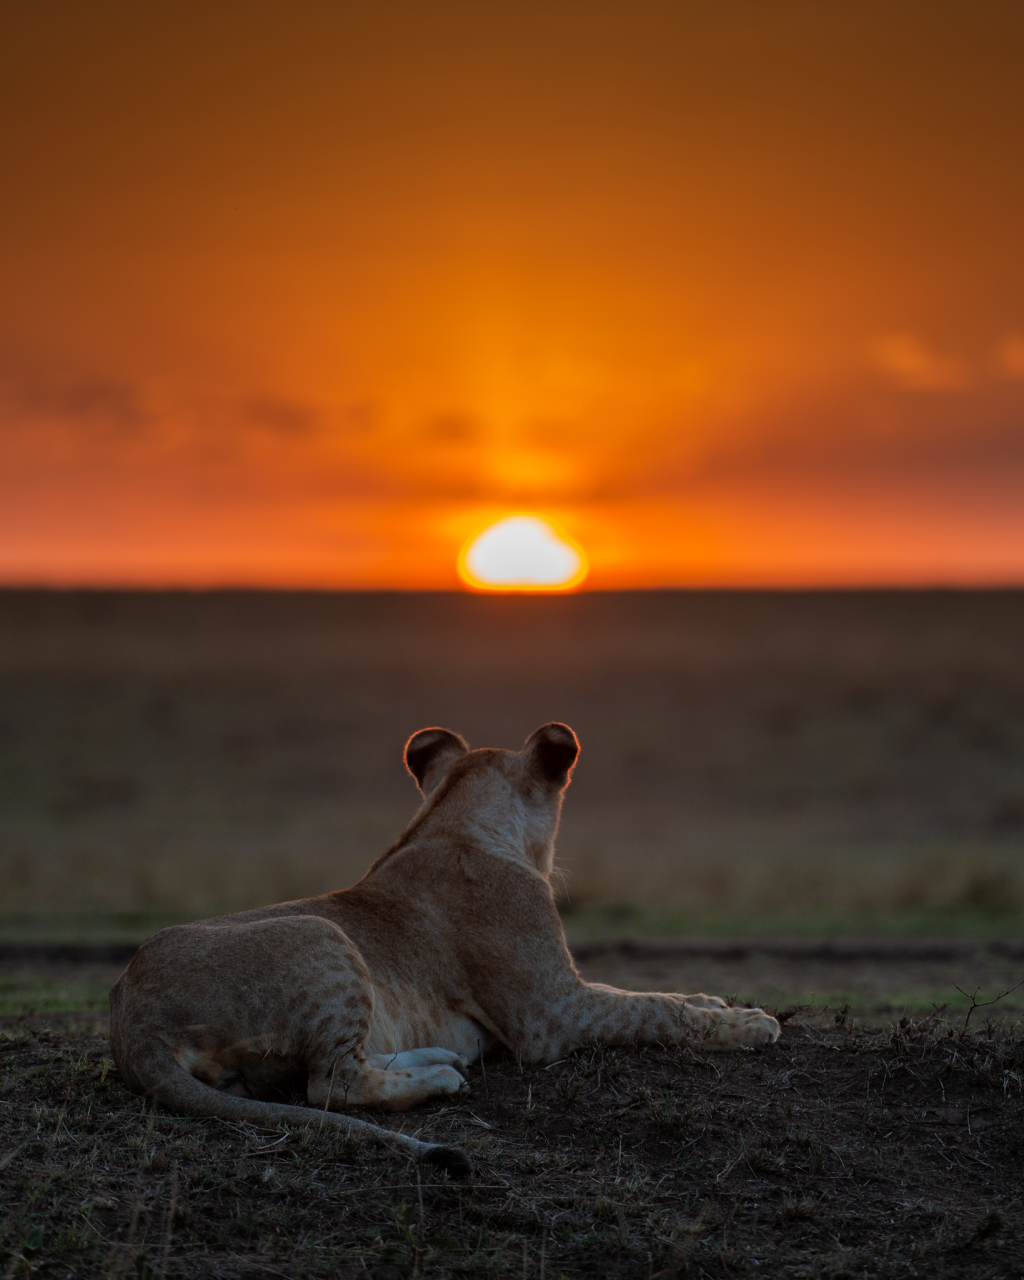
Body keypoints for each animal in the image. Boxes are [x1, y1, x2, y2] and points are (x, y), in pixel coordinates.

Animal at [110, 727, 778, 1172]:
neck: (452, 821)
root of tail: (130, 1018)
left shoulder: (567, 991)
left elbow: (645, 991)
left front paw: (715, 1000)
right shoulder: (551, 1017)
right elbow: (653, 1010)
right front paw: (750, 1024)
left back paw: (442, 1057)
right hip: (323, 934)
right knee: (331, 1085)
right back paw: (440, 1078)